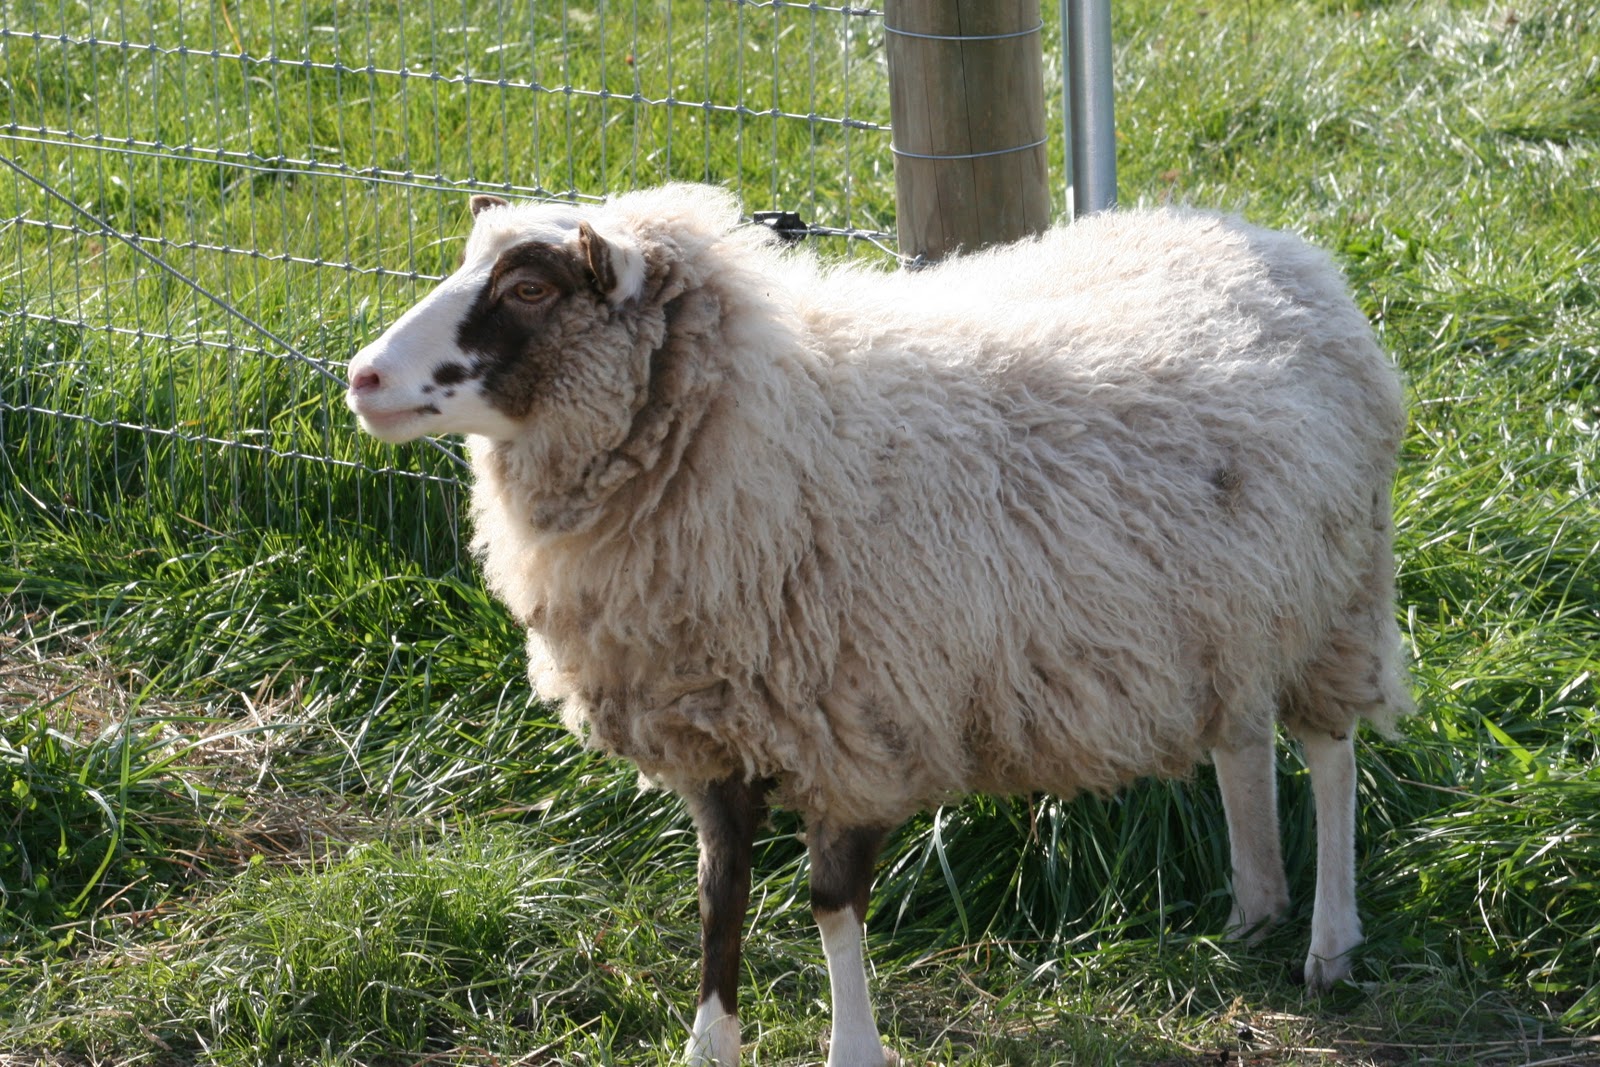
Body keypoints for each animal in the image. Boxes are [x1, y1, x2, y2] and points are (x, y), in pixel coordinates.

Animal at [345, 182, 1412, 1067]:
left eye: (529, 286)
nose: (363, 377)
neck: (762, 430)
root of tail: (1276, 246)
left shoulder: (857, 728)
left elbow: (830, 906)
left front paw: (852, 1049)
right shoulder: (713, 733)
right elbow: (719, 894)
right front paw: (707, 1046)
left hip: (1339, 594)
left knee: (1329, 756)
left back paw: (1328, 941)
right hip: (1232, 606)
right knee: (1240, 734)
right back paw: (1256, 906)